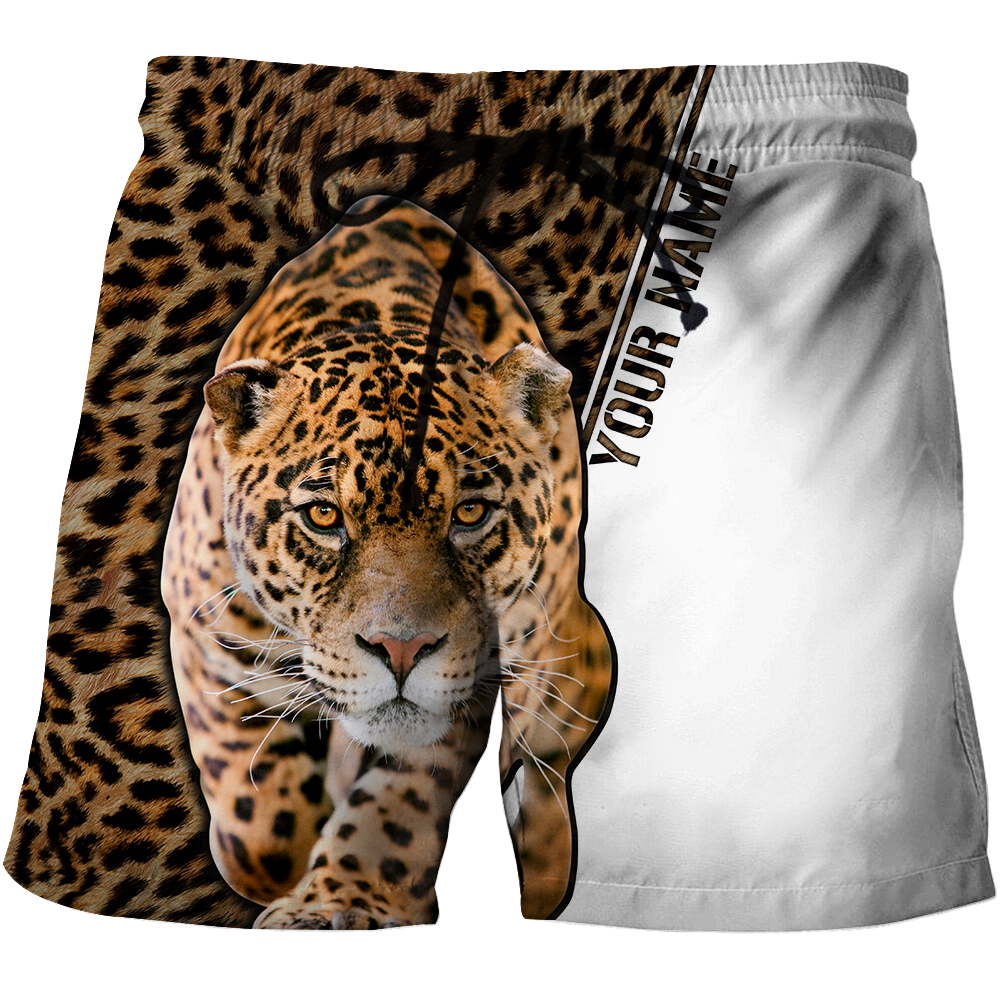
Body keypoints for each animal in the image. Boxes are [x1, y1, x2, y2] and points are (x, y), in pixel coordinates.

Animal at [3, 53, 697, 932]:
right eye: (325, 517)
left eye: (471, 514)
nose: (400, 651)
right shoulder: (202, 629)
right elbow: (253, 798)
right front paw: (280, 852)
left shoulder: (476, 683)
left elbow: (402, 803)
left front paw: (337, 899)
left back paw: (525, 886)